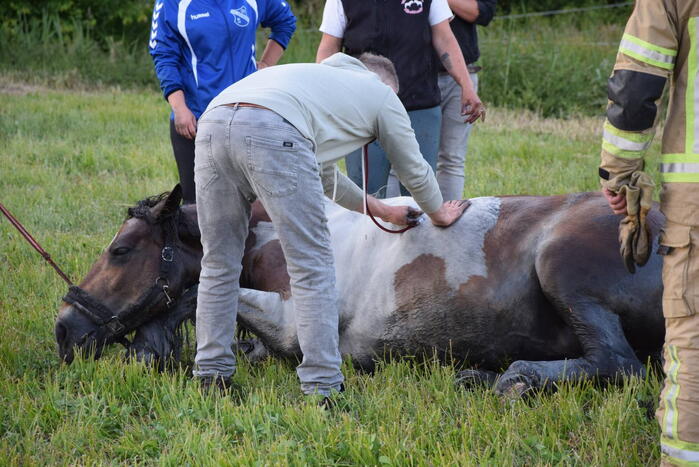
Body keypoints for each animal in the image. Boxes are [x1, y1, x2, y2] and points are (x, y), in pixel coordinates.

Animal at [55, 185, 666, 395]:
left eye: (120, 251)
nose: (64, 330)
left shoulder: (296, 326)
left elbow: (200, 294)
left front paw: (149, 344)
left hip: (560, 267)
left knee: (619, 364)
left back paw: (518, 379)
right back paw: (478, 375)